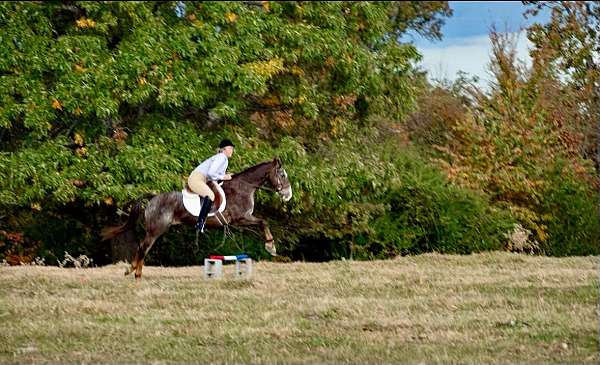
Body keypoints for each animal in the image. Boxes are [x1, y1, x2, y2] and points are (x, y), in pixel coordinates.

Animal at [101, 156, 292, 278]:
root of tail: (154, 197)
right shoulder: (241, 218)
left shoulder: (241, 221)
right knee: (143, 248)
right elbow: (263, 222)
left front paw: (270, 246)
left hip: (156, 230)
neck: (244, 187)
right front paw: (271, 247)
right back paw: (132, 271)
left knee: (144, 248)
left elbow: (261, 223)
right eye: (282, 174)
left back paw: (136, 273)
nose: (288, 194)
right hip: (156, 229)